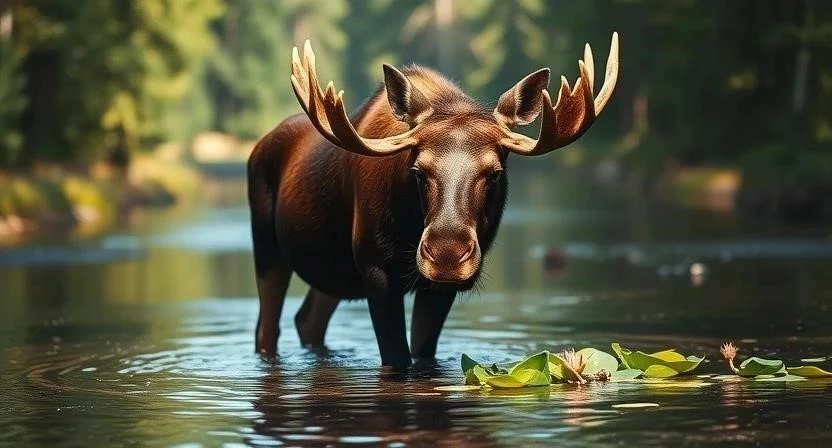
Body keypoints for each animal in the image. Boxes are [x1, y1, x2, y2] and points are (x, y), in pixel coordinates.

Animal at [247, 33, 619, 370]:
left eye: (495, 172)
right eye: (417, 170)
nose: (447, 255)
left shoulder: (438, 288)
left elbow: (423, 354)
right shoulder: (375, 268)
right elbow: (397, 358)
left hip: (332, 270)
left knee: (307, 319)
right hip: (267, 248)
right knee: (267, 327)